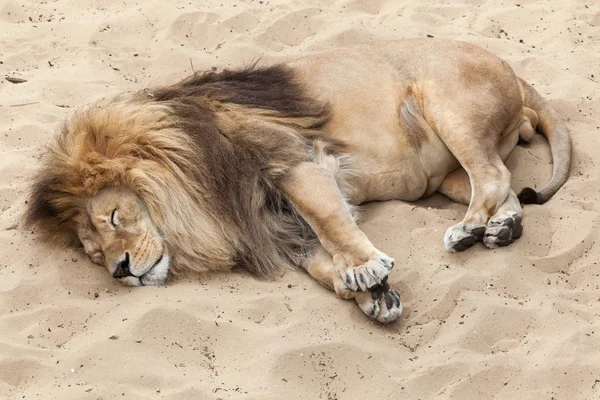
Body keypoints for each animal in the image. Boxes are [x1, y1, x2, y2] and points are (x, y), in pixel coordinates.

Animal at [25, 39, 572, 324]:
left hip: (447, 104)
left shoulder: (292, 160)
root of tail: (511, 68)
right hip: (448, 177)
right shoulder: (272, 223)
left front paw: (366, 269)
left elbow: (329, 219)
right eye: (92, 252)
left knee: (495, 176)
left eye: (116, 216)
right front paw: (371, 293)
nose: (119, 270)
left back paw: (468, 230)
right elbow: (318, 263)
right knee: (504, 189)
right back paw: (500, 228)